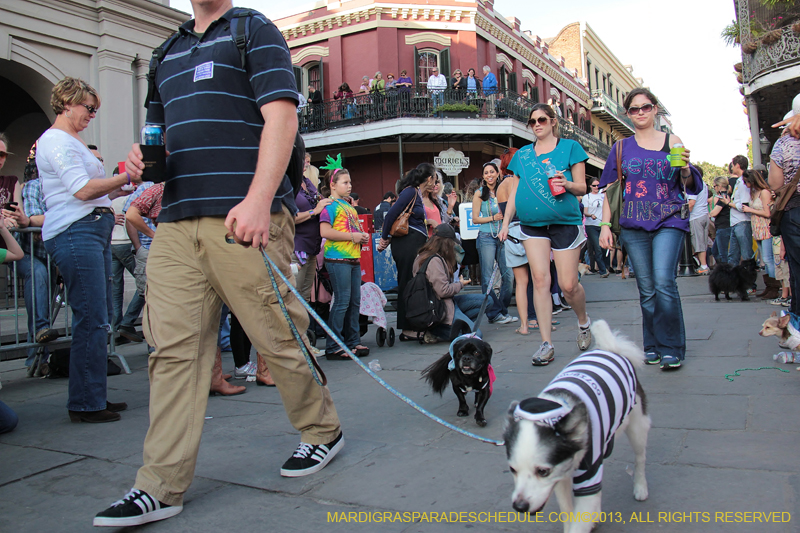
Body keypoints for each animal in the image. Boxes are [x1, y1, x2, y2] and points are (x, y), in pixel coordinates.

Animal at [506, 318, 648, 528]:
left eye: (542, 471)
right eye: (512, 470)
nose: (519, 506)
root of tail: (609, 349)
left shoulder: (588, 475)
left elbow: (580, 520)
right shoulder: (561, 476)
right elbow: (568, 512)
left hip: (637, 426)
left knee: (640, 458)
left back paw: (640, 488)